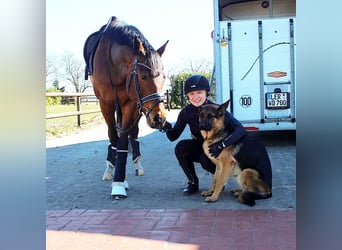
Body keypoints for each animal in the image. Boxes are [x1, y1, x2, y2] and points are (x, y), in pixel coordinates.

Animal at [83, 16, 168, 199]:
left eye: (164, 77)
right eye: (143, 76)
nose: (159, 118)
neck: (113, 65)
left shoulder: (130, 103)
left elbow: (123, 140)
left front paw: (120, 182)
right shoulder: (105, 104)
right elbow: (113, 137)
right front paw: (117, 175)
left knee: (132, 134)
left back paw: (136, 163)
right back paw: (110, 165)